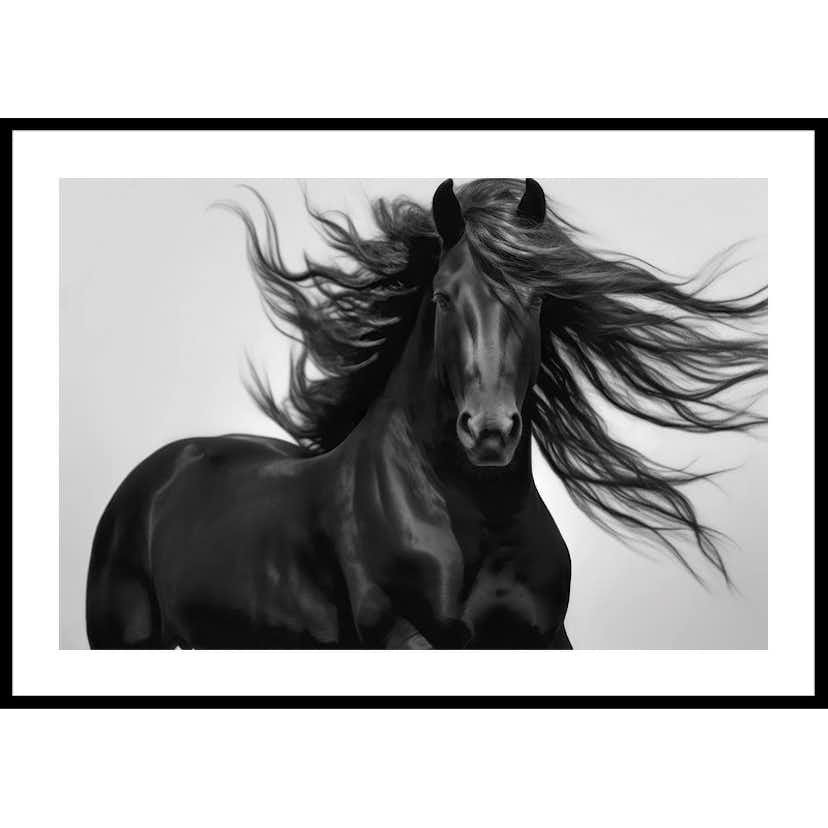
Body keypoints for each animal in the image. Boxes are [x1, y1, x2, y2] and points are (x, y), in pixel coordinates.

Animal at [86, 178, 767, 649]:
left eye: (538, 298)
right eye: (442, 298)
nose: (489, 432)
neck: (482, 523)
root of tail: (157, 473)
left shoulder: (543, 638)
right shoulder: (406, 637)